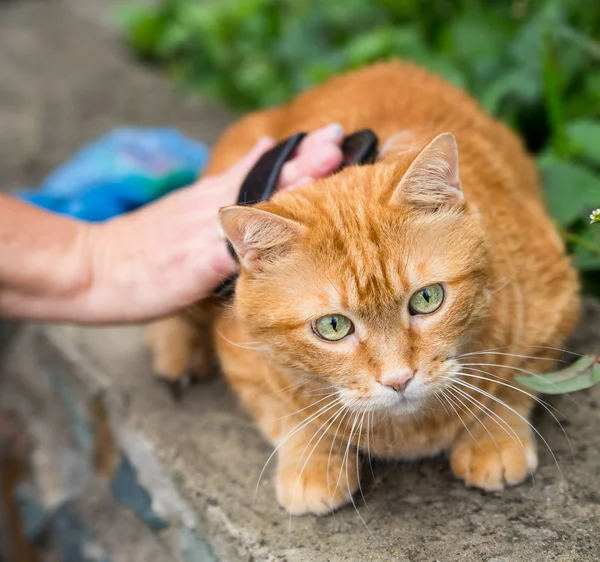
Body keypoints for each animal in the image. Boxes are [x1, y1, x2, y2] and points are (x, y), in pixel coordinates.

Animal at [148, 60, 580, 512]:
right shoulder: (244, 361)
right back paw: (177, 352)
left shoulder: (556, 301)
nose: (398, 380)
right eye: (333, 326)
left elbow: (519, 380)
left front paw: (492, 435)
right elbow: (285, 414)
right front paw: (312, 462)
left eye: (428, 299)